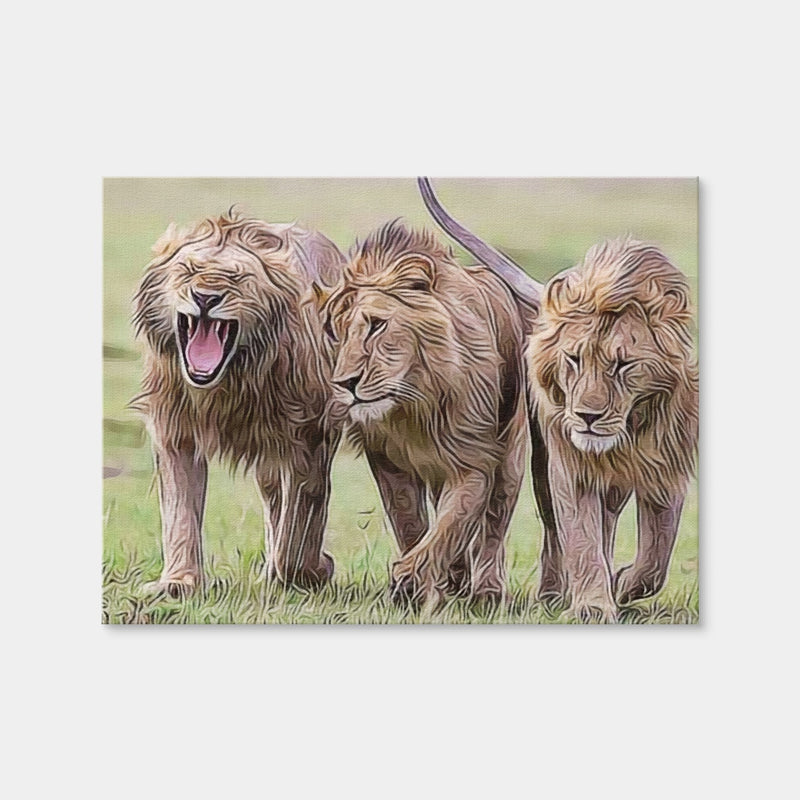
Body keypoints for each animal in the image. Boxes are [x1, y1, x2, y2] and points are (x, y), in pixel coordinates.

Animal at [131, 209, 346, 596]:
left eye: (237, 277)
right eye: (188, 270)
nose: (205, 298)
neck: (229, 382)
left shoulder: (310, 435)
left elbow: (301, 522)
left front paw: (313, 570)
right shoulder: (175, 430)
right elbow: (180, 511)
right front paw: (178, 582)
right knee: (273, 499)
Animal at [321, 220, 529, 607]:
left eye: (376, 324)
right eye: (336, 333)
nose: (345, 383)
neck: (414, 404)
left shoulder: (474, 460)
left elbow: (451, 523)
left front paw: (409, 580)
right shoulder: (387, 462)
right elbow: (412, 524)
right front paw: (421, 584)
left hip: (511, 455)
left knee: (495, 523)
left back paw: (487, 591)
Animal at [417, 178, 698, 622]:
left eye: (623, 364)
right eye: (574, 358)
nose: (586, 416)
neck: (631, 428)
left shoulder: (668, 469)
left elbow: (656, 556)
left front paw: (622, 584)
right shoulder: (570, 465)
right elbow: (580, 534)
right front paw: (593, 605)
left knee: (611, 520)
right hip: (540, 458)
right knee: (555, 526)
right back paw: (553, 593)